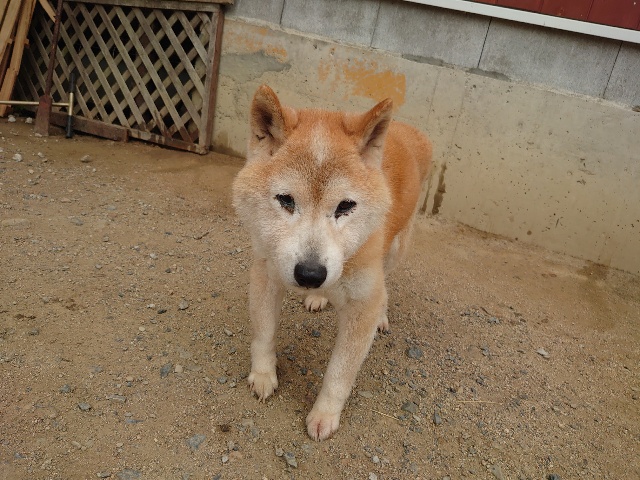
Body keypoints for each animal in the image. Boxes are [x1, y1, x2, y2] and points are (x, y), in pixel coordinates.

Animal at [232, 85, 432, 440]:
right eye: (285, 200)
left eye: (345, 206)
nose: (311, 274)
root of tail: (410, 130)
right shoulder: (266, 273)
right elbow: (264, 333)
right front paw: (264, 375)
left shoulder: (362, 304)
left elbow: (340, 373)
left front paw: (324, 414)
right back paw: (319, 297)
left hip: (396, 249)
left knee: (387, 285)